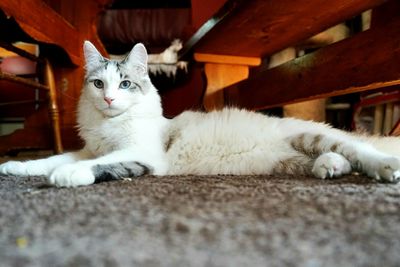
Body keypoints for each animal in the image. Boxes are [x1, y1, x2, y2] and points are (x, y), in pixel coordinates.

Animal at [0, 42, 400, 188]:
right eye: (99, 84)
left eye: (126, 84)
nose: (111, 99)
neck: (109, 125)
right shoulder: (88, 148)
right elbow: (50, 158)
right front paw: (14, 167)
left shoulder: (141, 154)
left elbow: (98, 164)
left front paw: (66, 176)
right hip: (290, 161)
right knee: (335, 160)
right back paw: (330, 167)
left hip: (314, 137)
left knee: (361, 152)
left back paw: (384, 168)